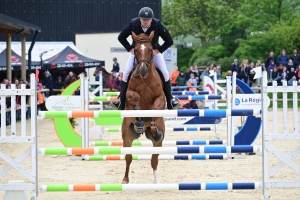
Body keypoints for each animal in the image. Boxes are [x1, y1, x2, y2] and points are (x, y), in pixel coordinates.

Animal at [120, 30, 165, 184]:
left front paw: (152, 125)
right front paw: (139, 120)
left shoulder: (161, 98)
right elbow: (136, 99)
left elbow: (154, 109)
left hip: (159, 141)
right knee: (128, 157)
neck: (145, 79)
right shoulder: (129, 94)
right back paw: (125, 180)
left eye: (150, 49)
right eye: (136, 50)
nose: (143, 70)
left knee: (154, 159)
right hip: (127, 135)